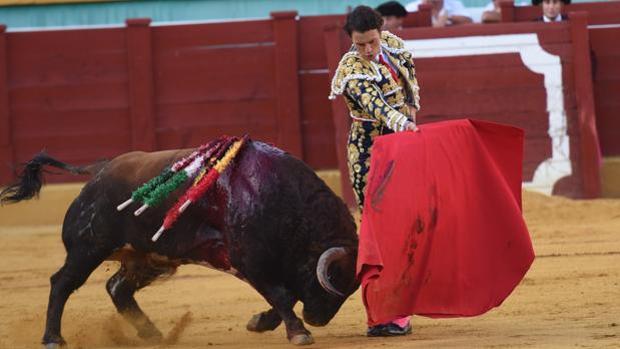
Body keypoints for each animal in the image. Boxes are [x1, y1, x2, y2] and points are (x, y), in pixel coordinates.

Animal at [1, 139, 358, 348]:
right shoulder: (250, 259)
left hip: (147, 257)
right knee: (62, 283)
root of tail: (99, 171)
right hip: (87, 248)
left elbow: (284, 295)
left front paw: (260, 322)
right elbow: (283, 295)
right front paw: (299, 332)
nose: (318, 319)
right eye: (332, 281)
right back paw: (53, 338)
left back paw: (152, 334)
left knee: (118, 288)